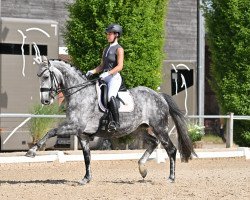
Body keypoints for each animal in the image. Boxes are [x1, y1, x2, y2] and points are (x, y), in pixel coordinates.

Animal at [26, 56, 196, 184]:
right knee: (153, 142)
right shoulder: (82, 134)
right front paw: (86, 178)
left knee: (171, 149)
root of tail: (159, 96)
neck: (80, 94)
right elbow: (87, 156)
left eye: (46, 76)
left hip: (160, 128)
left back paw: (170, 178)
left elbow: (51, 131)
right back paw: (142, 169)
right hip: (138, 129)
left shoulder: (74, 126)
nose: (45, 100)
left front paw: (32, 151)